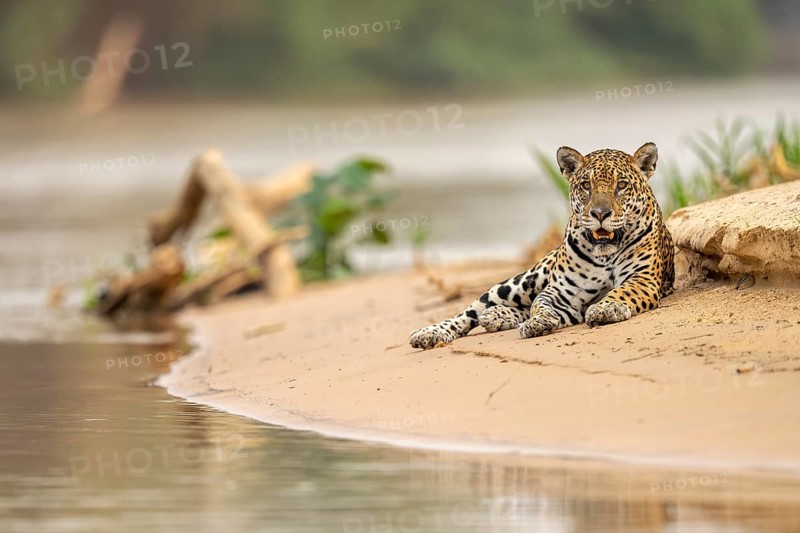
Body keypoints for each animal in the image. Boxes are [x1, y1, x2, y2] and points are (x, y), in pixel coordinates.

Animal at [409, 142, 674, 350]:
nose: (600, 213)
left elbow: (622, 291)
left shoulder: (642, 279)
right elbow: (541, 305)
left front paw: (606, 308)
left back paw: (496, 316)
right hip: (520, 282)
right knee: (471, 312)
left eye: (621, 185)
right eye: (586, 186)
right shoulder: (561, 291)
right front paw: (539, 322)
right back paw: (430, 332)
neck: (604, 254)